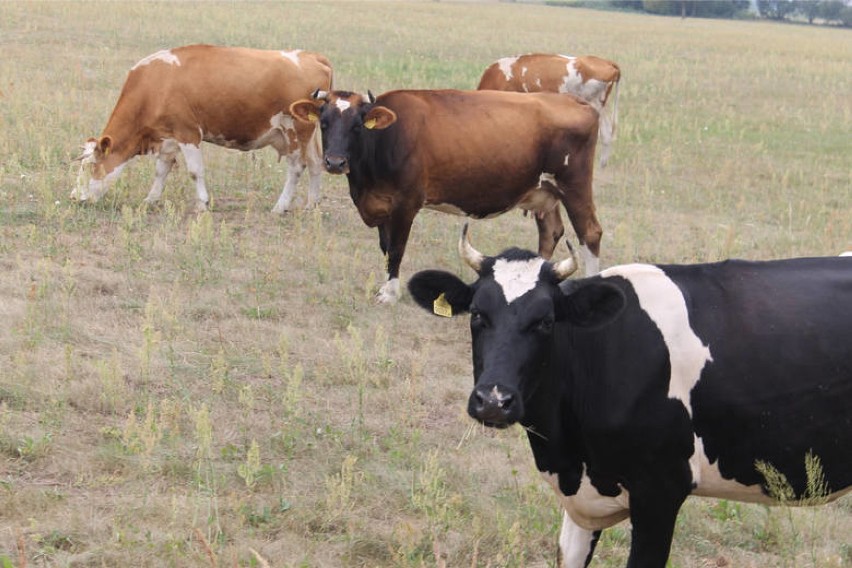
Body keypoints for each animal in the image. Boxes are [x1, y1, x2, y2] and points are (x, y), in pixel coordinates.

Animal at [73, 44, 332, 213]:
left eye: (92, 166)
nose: (75, 198)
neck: (156, 84)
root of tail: (312, 57)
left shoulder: (188, 133)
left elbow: (195, 171)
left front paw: (202, 204)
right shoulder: (168, 137)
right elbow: (161, 170)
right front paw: (150, 200)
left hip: (295, 131)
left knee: (296, 167)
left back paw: (280, 206)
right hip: (308, 134)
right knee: (315, 164)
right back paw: (311, 204)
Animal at [290, 89, 604, 302]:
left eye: (357, 125)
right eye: (324, 122)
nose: (335, 162)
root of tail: (575, 100)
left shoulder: (406, 203)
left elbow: (397, 248)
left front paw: (390, 293)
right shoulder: (382, 203)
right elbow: (385, 246)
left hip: (574, 185)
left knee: (590, 233)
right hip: (544, 191)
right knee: (551, 231)